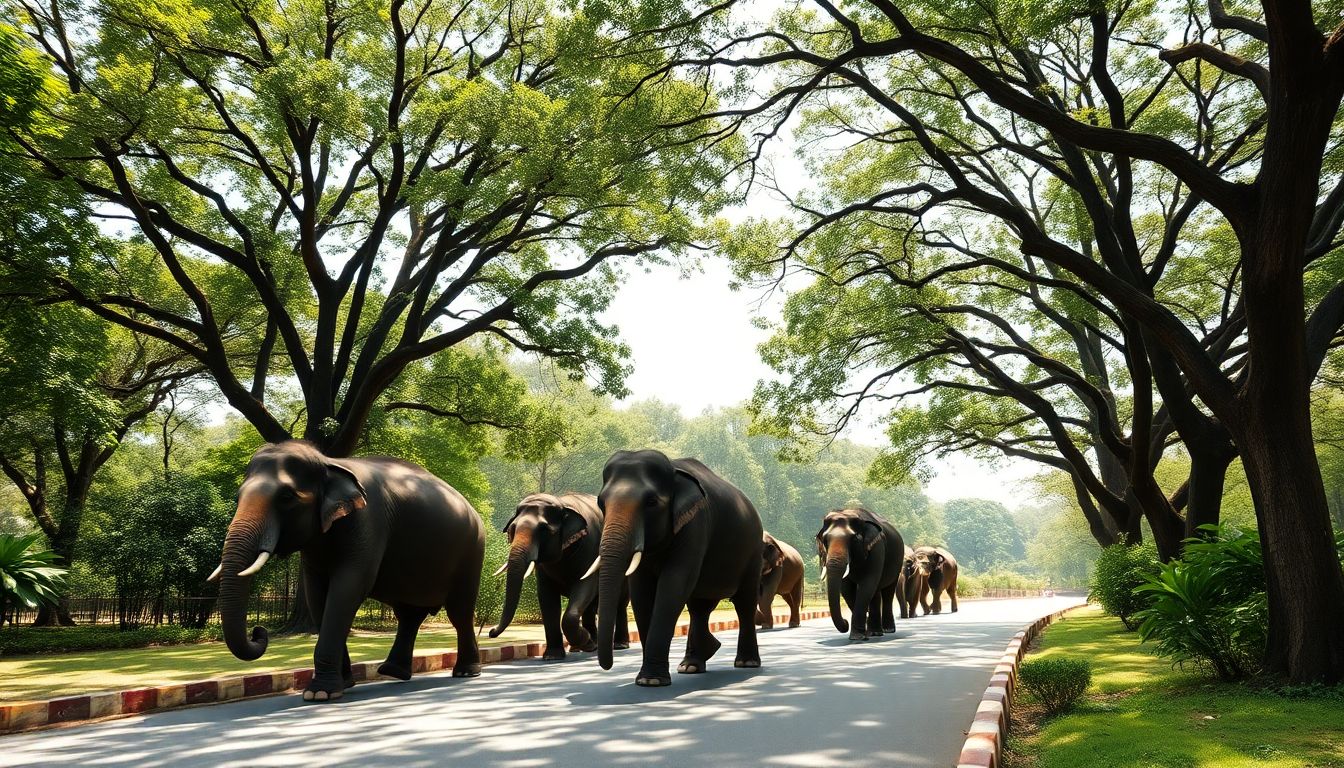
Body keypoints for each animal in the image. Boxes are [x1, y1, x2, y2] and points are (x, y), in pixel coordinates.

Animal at [209, 441, 484, 701]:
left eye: (286, 497)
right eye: (237, 498)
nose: (259, 632)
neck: (329, 462)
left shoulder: (368, 521)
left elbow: (349, 586)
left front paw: (320, 693)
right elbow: (317, 593)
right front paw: (343, 684)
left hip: (472, 553)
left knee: (459, 612)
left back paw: (465, 672)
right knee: (409, 614)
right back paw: (393, 672)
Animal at [487, 492, 629, 659]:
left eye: (543, 530)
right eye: (512, 529)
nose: (491, 632)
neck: (562, 503)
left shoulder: (590, 547)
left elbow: (585, 585)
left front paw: (586, 641)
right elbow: (546, 597)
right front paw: (553, 656)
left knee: (620, 602)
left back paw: (618, 645)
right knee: (590, 607)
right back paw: (585, 646)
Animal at [592, 449, 764, 687]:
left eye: (651, 502)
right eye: (601, 502)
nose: (608, 665)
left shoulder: (696, 522)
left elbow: (674, 583)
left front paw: (651, 681)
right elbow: (641, 591)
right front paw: (647, 680)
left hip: (753, 551)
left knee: (744, 602)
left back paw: (746, 663)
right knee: (699, 606)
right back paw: (693, 664)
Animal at [816, 507, 905, 641]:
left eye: (854, 539)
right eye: (825, 540)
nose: (846, 623)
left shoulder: (877, 548)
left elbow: (867, 584)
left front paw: (857, 637)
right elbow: (847, 589)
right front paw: (863, 634)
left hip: (898, 562)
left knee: (888, 591)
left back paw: (886, 630)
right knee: (876, 592)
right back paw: (874, 632)